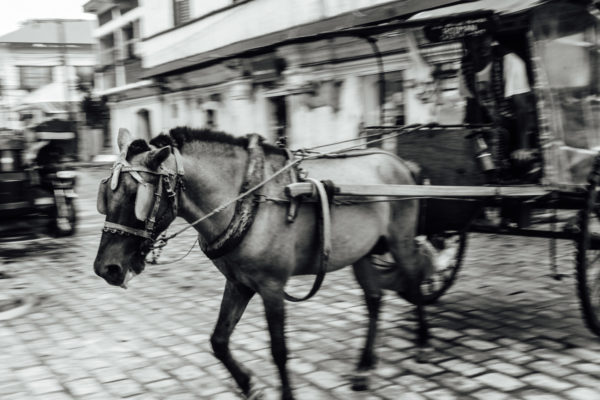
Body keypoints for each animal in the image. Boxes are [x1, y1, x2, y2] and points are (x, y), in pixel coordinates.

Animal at [94, 127, 436, 400]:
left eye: (137, 196)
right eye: (105, 196)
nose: (105, 269)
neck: (246, 198)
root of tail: (399, 163)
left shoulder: (271, 286)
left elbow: (279, 350)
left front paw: (283, 393)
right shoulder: (238, 283)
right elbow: (219, 341)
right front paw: (249, 385)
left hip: (401, 241)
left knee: (414, 280)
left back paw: (421, 342)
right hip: (361, 251)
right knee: (375, 299)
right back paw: (364, 368)